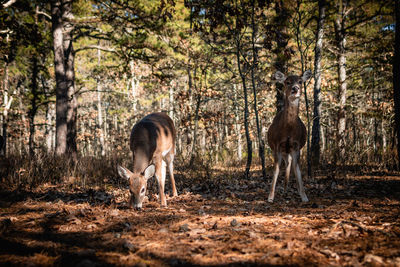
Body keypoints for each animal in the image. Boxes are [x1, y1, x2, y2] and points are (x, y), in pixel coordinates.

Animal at [268, 69, 314, 203]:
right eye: (287, 82)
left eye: (300, 81)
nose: (295, 88)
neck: (288, 130)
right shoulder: (277, 145)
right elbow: (276, 169)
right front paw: (270, 197)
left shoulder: (296, 145)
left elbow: (297, 169)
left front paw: (304, 196)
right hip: (283, 150)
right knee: (286, 164)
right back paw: (284, 189)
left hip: (288, 150)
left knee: (289, 164)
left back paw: (286, 189)